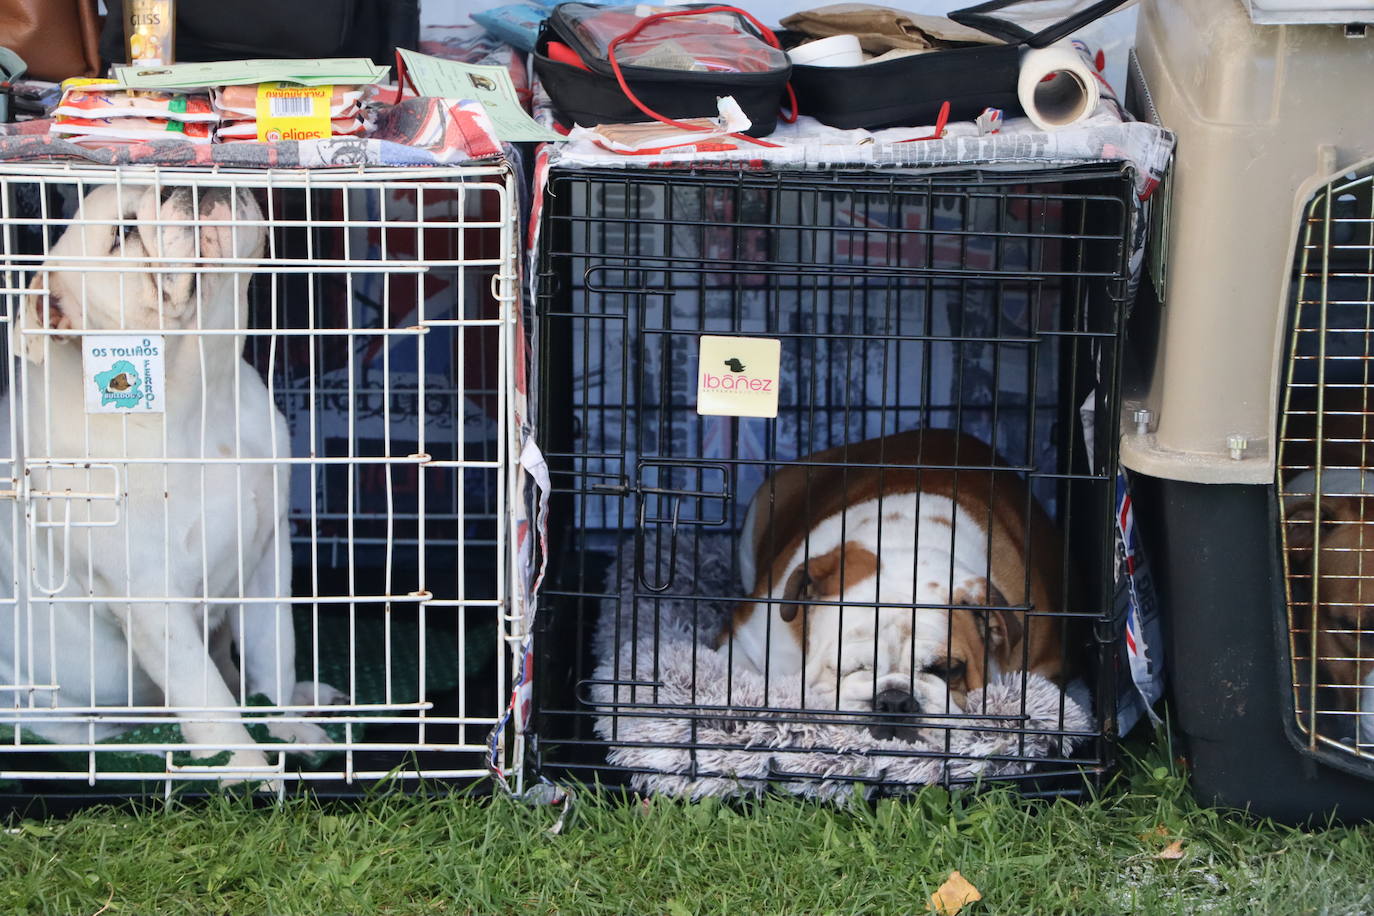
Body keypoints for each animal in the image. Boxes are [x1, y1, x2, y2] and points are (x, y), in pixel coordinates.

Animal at [0, 181, 342, 780]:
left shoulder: (266, 556)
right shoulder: (150, 598)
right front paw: (246, 769)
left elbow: (273, 650)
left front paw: (286, 725)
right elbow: (205, 695)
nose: (191, 183)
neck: (199, 395)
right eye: (122, 232)